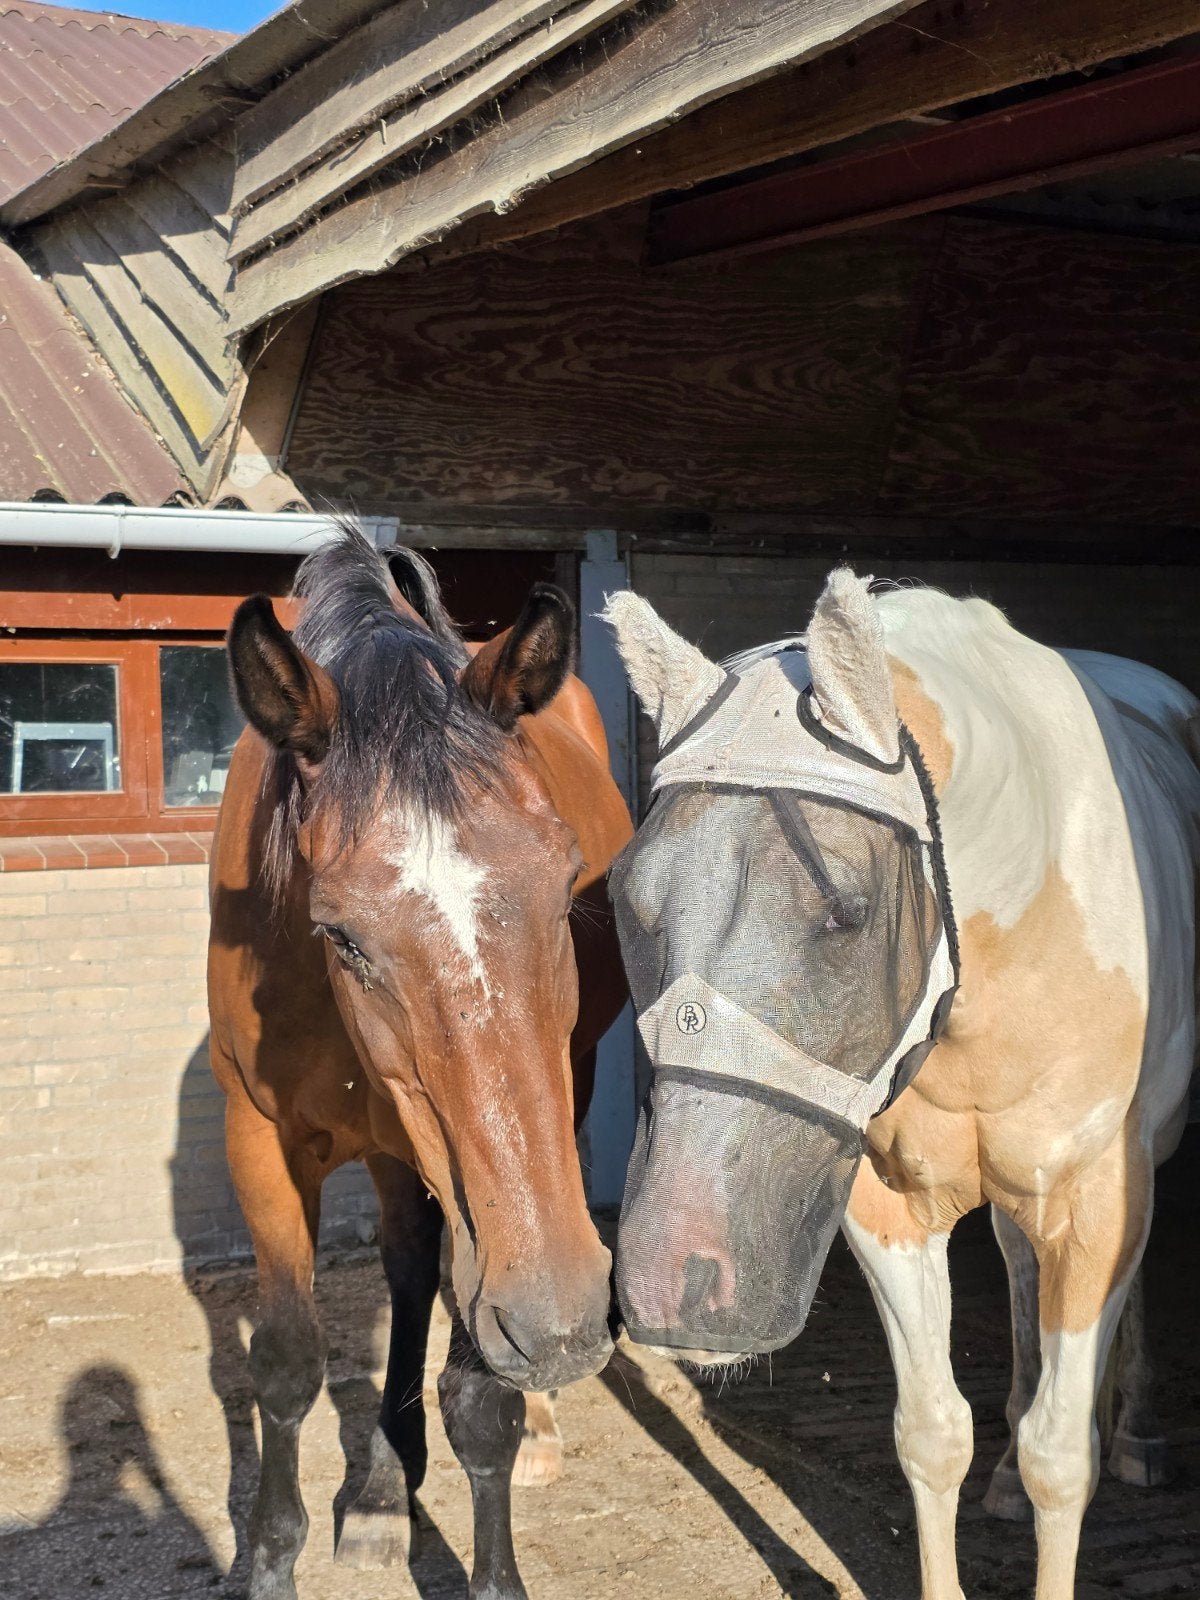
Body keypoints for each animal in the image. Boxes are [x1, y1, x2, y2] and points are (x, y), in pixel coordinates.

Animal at [206, 523, 631, 1600]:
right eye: (341, 932)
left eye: (567, 885)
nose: (566, 1320)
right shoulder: (257, 1137)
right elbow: (286, 1361)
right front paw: (274, 1556)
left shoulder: (498, 1203)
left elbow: (482, 1394)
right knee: (404, 1273)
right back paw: (380, 1492)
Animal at [603, 570, 1200, 1600]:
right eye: (627, 899)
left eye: (848, 909)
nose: (670, 1280)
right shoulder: (887, 1207)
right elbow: (932, 1435)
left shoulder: (1098, 1199)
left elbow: (1061, 1458)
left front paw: (1083, 1445)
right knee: (1016, 1267)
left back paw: (1141, 1433)